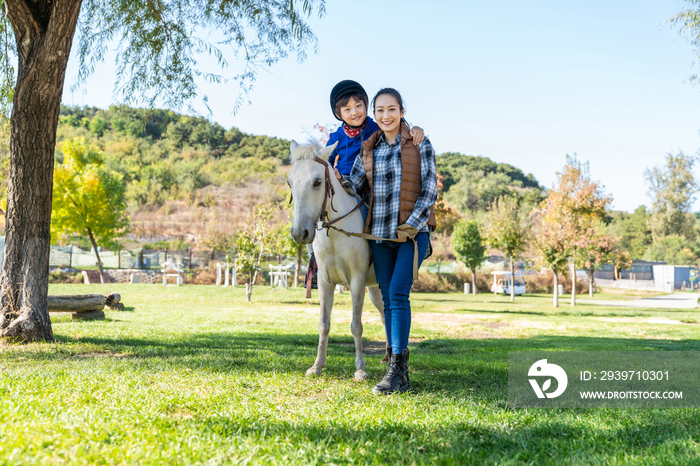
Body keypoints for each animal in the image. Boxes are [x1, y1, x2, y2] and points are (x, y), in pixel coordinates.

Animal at [288, 140, 386, 380]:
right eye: (290, 183)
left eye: (317, 182)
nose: (299, 233)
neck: (336, 232)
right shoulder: (325, 281)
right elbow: (324, 323)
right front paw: (317, 365)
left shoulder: (357, 281)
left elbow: (356, 325)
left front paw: (360, 369)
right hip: (375, 288)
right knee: (384, 315)